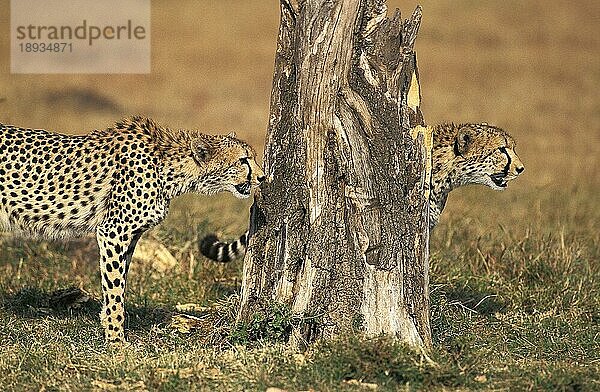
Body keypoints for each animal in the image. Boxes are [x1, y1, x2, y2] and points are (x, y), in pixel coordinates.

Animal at [0, 116, 264, 344]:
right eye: (243, 160)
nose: (262, 177)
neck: (169, 168)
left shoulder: (130, 236)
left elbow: (118, 282)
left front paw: (107, 324)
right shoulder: (112, 232)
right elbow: (115, 289)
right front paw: (116, 341)